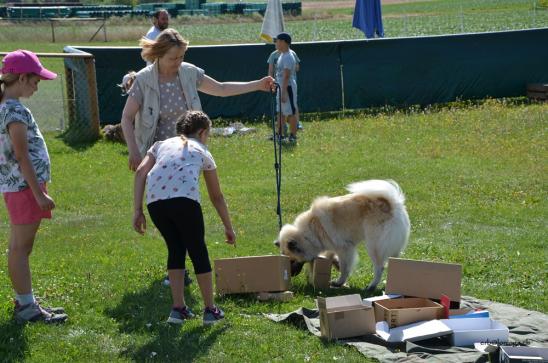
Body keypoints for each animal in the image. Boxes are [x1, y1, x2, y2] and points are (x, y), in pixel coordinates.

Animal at [276, 181, 408, 292]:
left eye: (292, 260)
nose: (291, 275)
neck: (309, 233)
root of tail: (392, 204)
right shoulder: (332, 245)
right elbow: (331, 257)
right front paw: (335, 266)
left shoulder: (344, 249)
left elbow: (345, 268)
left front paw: (339, 282)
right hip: (391, 249)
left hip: (373, 246)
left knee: (379, 268)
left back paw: (371, 286)